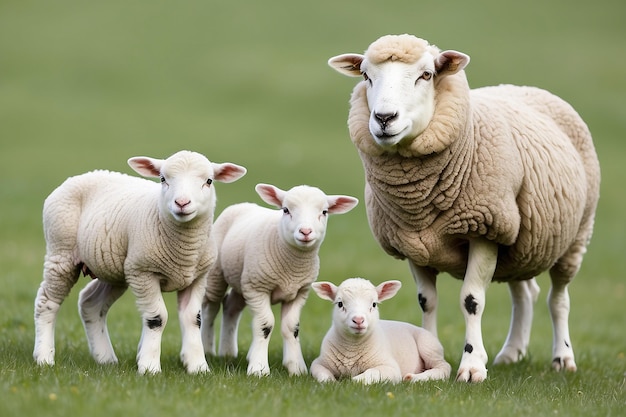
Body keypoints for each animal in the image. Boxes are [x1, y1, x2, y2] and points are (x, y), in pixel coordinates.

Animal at [33, 150, 245, 374]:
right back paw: (44, 357)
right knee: (46, 302)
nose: (182, 203)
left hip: (115, 270)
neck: (184, 251)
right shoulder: (144, 272)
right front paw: (150, 367)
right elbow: (157, 318)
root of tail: (75, 178)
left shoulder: (197, 278)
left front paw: (198, 366)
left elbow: (193, 319)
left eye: (209, 181)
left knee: (90, 303)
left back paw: (105, 358)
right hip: (61, 253)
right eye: (163, 179)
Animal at [308, 276, 448, 384]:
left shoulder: (390, 368)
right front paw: (332, 382)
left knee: (443, 367)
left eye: (374, 304)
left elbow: (370, 373)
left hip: (429, 346)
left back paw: (414, 377)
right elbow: (323, 376)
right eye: (340, 304)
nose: (358, 320)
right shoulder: (318, 363)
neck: (352, 348)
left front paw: (351, 381)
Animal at [324, 34, 596, 382]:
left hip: (573, 236)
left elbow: (471, 301)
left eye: (426, 75)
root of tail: (527, 87)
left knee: (558, 299)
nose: (385, 118)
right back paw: (511, 352)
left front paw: (471, 366)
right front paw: (431, 356)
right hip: (522, 239)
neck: (419, 202)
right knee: (525, 294)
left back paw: (562, 357)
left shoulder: (485, 229)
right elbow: (426, 301)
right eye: (366, 76)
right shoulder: (414, 244)